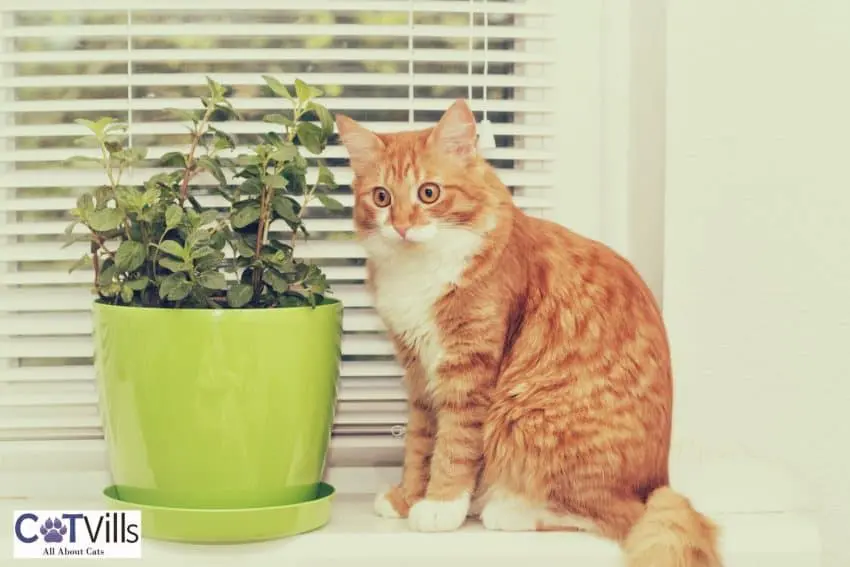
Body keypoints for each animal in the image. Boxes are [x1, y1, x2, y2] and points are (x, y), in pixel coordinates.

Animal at [334, 100, 720, 564]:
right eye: (382, 197)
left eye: (429, 193)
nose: (402, 226)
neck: (420, 271)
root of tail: (658, 482)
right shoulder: (419, 375)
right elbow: (419, 445)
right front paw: (407, 497)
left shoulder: (469, 371)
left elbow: (454, 447)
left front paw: (441, 505)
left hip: (527, 417)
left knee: (616, 515)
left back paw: (505, 510)